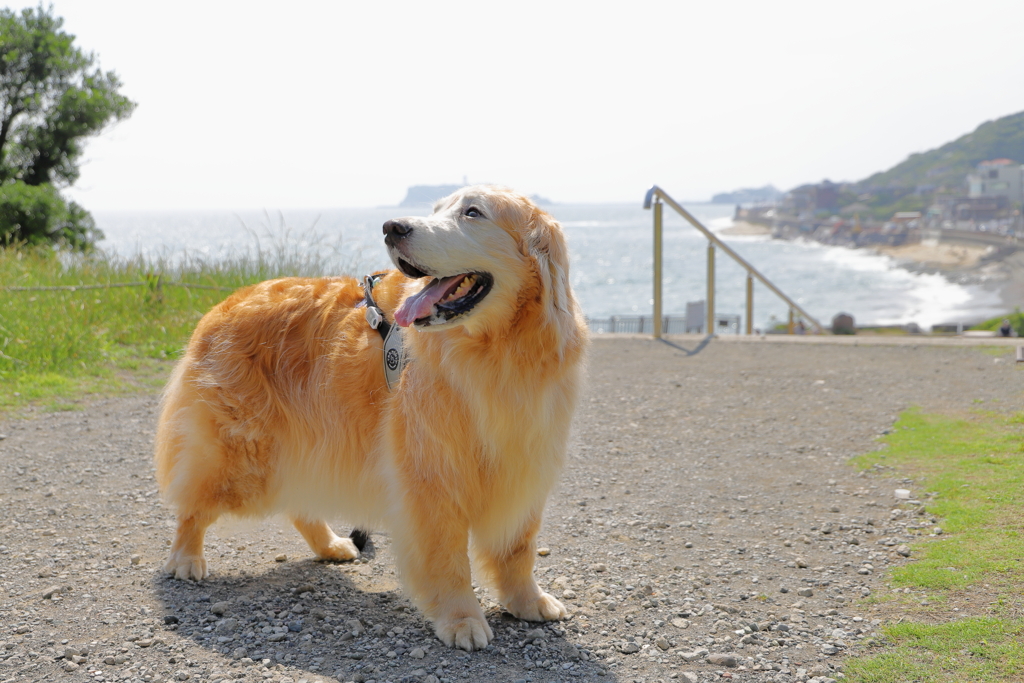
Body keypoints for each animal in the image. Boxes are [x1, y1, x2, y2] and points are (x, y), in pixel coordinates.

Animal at [151, 184, 585, 651]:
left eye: (473, 213)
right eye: (437, 209)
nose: (392, 227)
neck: (497, 350)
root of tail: (222, 304)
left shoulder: (524, 462)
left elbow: (518, 549)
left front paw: (527, 601)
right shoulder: (431, 474)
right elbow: (448, 556)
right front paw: (461, 618)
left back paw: (331, 545)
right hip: (244, 456)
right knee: (194, 505)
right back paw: (186, 557)